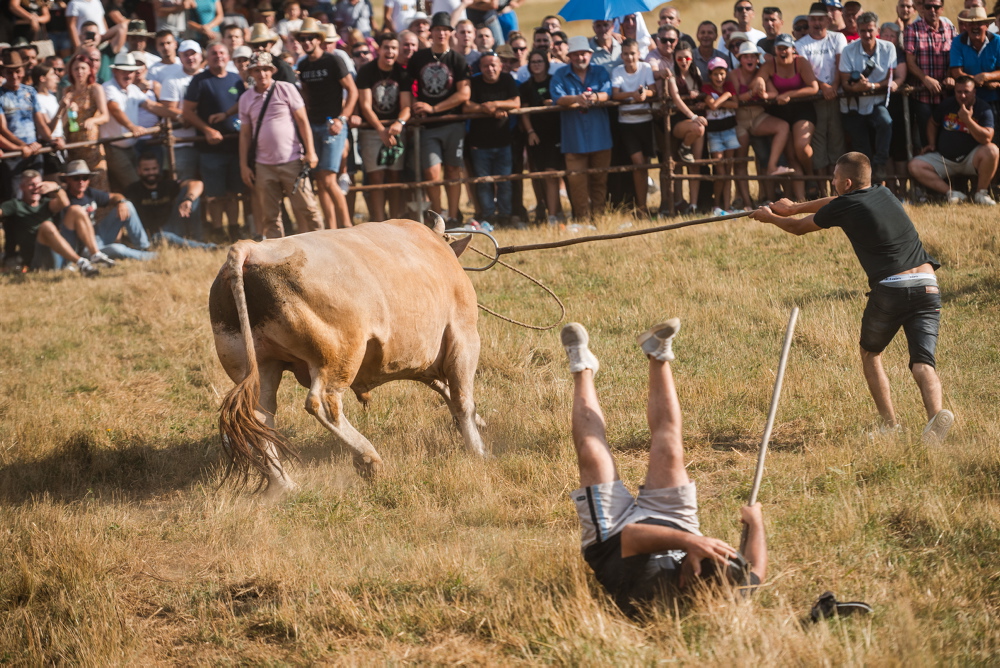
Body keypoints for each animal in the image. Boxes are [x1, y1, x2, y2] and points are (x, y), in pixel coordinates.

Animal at [212, 219, 488, 496]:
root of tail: (252, 249)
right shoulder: (463, 336)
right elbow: (462, 399)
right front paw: (478, 449)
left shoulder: (421, 359)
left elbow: (445, 389)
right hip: (339, 357)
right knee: (323, 404)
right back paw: (368, 458)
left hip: (261, 366)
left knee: (261, 418)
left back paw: (284, 484)